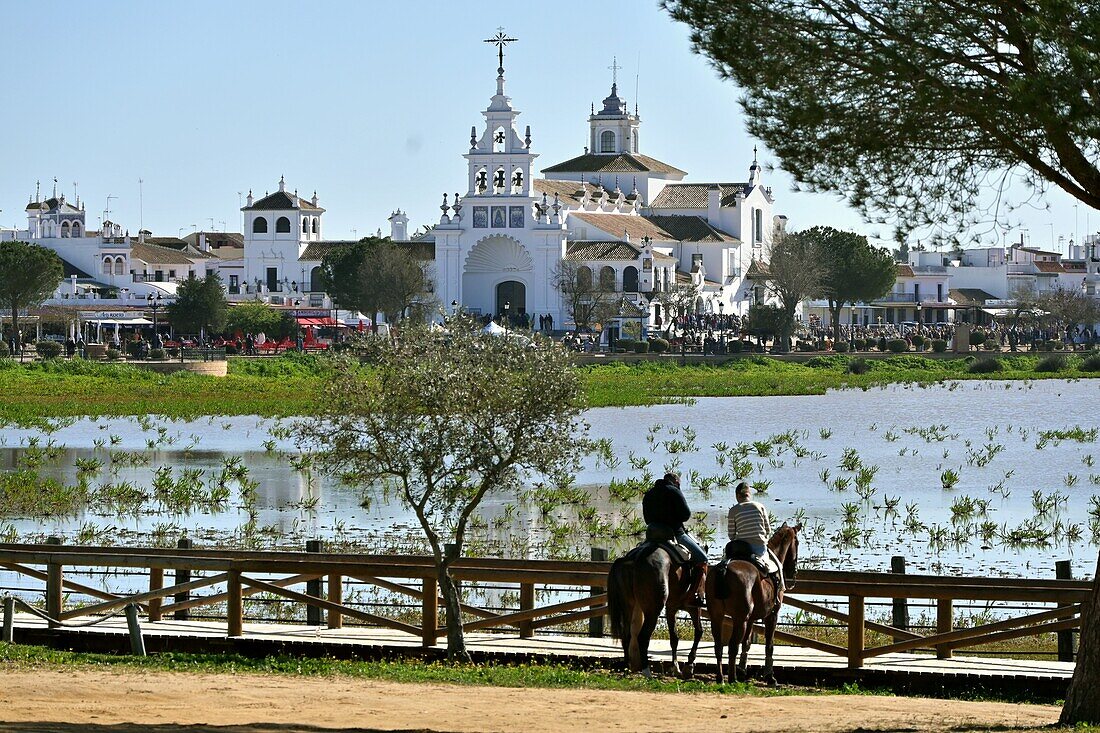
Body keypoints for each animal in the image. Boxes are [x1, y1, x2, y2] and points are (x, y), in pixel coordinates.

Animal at [602, 541, 704, 673]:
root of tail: (633, 558)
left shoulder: (671, 608)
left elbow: (674, 638)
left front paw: (675, 667)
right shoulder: (693, 608)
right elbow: (698, 632)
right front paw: (689, 663)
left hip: (628, 607)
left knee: (627, 636)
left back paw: (627, 667)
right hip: (653, 611)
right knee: (643, 637)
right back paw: (646, 671)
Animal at [704, 521, 800, 682]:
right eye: (797, 542)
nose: (793, 572)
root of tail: (725, 568)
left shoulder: (751, 619)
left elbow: (746, 643)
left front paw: (742, 669)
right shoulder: (772, 615)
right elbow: (769, 645)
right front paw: (769, 676)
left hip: (717, 616)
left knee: (719, 646)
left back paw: (720, 678)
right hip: (739, 619)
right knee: (732, 646)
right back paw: (732, 679)